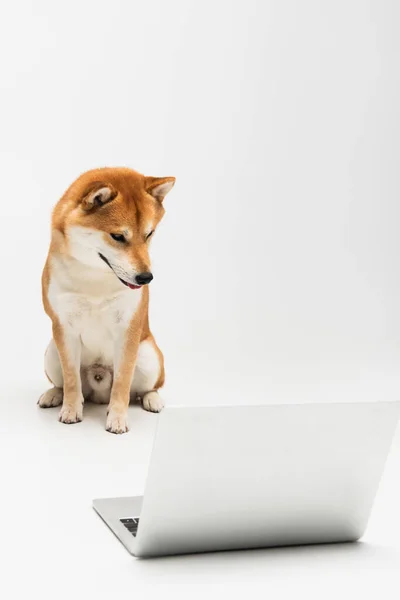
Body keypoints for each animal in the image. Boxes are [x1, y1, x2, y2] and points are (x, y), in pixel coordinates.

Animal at [38, 166, 175, 434]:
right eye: (118, 236)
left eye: (149, 234)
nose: (146, 277)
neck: (95, 279)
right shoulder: (64, 327)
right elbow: (71, 380)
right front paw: (70, 410)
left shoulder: (127, 328)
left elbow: (123, 382)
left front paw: (118, 418)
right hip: (51, 351)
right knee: (65, 384)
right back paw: (54, 395)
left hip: (149, 356)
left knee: (145, 388)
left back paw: (152, 399)